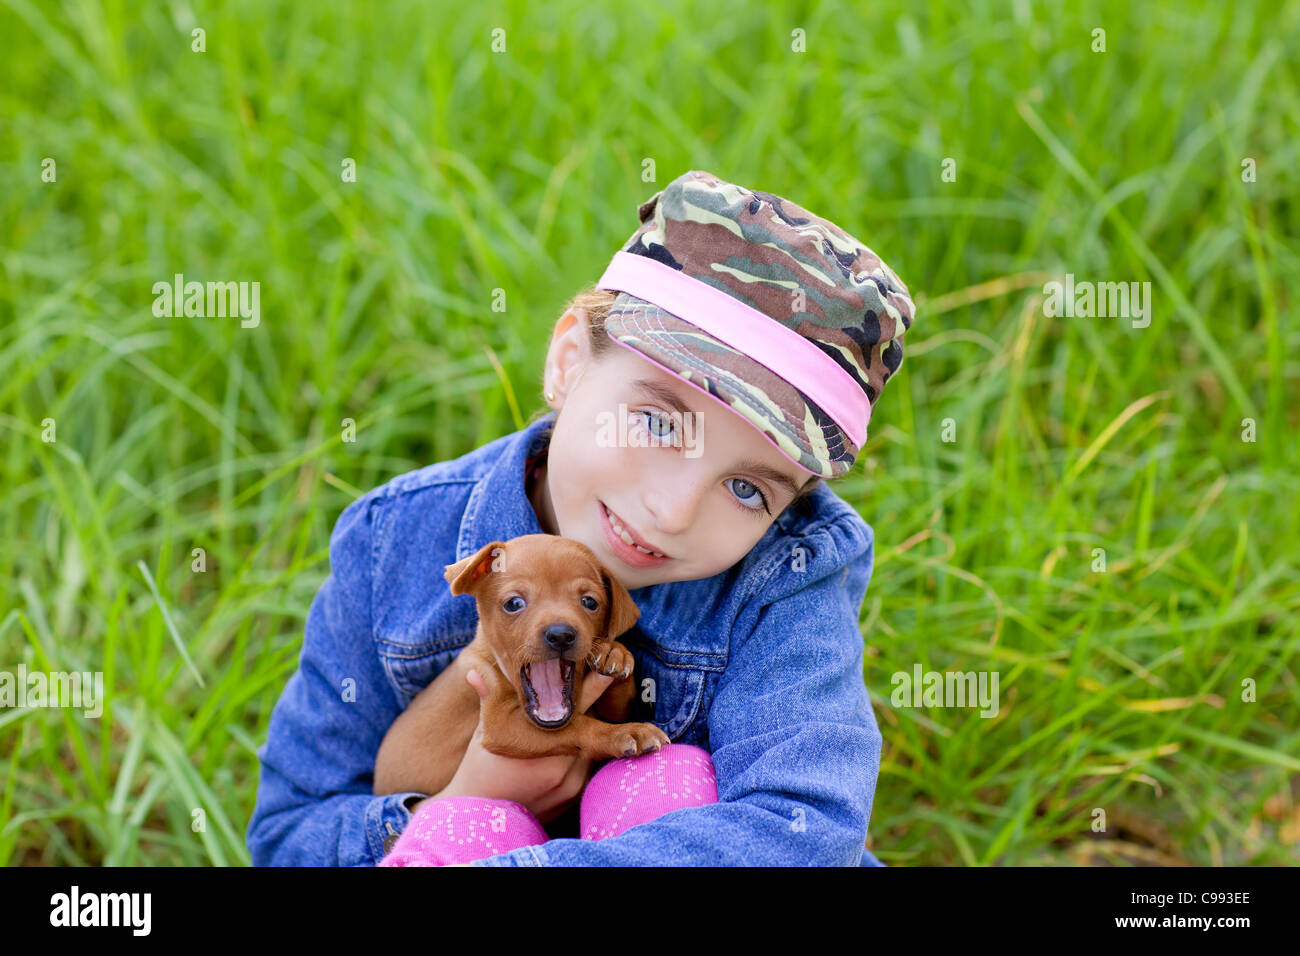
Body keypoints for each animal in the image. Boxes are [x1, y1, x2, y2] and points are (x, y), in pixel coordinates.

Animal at [369, 538, 665, 801]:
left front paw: (613, 652)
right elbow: (579, 726)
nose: (560, 635)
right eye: (514, 603)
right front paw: (624, 733)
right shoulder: (500, 725)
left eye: (590, 602)